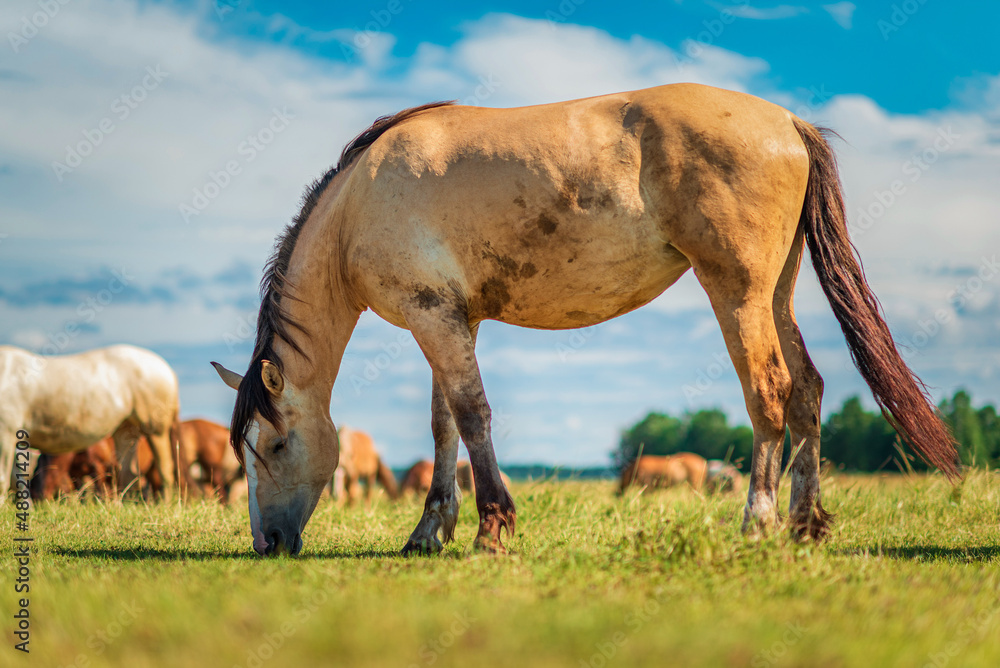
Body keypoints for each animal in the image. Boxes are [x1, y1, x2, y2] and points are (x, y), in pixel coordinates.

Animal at [1, 344, 183, 501]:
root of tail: (166, 369)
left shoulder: (7, 432)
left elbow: (3, 481)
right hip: (126, 431)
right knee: (128, 473)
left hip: (156, 430)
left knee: (165, 470)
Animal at [211, 83, 958, 556]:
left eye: (273, 445)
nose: (267, 544)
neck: (362, 200)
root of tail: (787, 124)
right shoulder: (450, 320)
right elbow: (445, 426)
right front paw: (428, 533)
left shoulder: (436, 319)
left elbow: (473, 416)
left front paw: (492, 529)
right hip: (777, 292)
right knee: (806, 391)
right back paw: (806, 525)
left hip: (739, 292)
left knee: (769, 392)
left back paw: (758, 523)